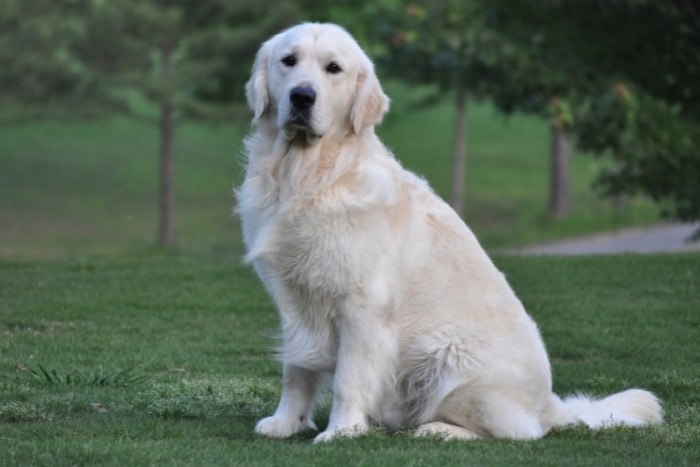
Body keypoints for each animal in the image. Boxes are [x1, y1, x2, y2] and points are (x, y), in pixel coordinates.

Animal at [237, 22, 660, 444]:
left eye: (333, 68)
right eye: (288, 61)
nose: (302, 96)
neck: (309, 177)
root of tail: (548, 405)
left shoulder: (363, 305)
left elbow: (349, 378)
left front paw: (342, 431)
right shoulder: (295, 302)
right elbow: (296, 370)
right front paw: (287, 422)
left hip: (449, 356)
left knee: (513, 432)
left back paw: (436, 429)